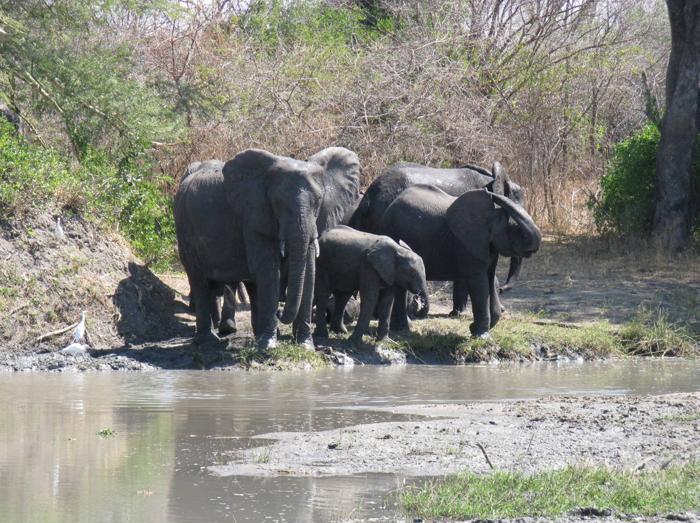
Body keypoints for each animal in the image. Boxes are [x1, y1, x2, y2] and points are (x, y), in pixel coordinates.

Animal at [175, 147, 360, 350]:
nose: (280, 312)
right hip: (184, 229)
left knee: (250, 284)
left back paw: (255, 334)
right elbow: (270, 270)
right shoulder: (255, 216)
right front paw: (268, 346)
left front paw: (304, 345)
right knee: (199, 279)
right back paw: (209, 341)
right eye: (277, 203)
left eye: (319, 201)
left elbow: (310, 269)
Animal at [378, 186, 540, 338]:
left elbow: (490, 278)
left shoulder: (488, 245)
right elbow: (479, 283)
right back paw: (402, 328)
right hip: (391, 231)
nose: (489, 191)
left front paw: (475, 329)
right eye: (514, 228)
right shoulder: (466, 244)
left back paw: (403, 328)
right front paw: (481, 336)